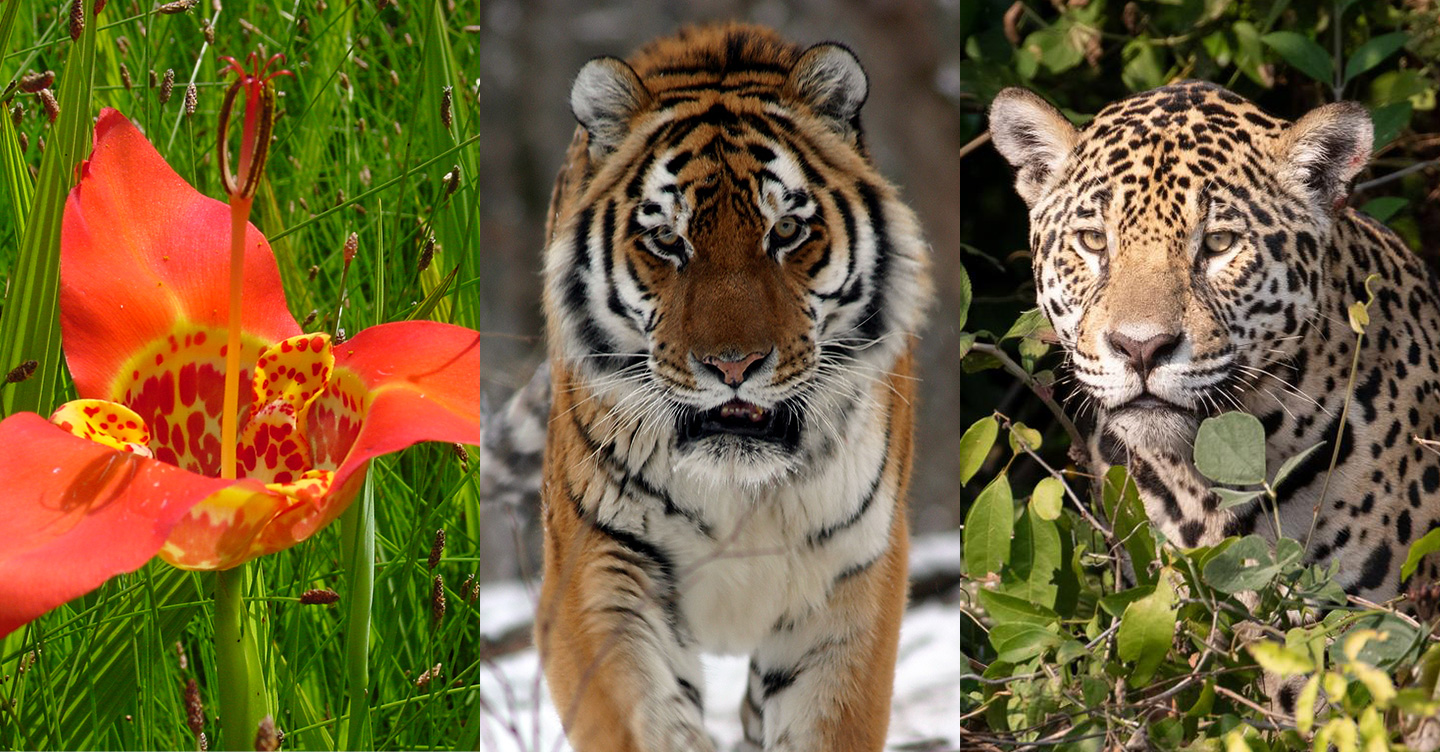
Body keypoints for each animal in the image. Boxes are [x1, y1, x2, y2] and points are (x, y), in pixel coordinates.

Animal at [532, 23, 933, 752]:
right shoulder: (594, 564)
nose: (733, 366)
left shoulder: (852, 573)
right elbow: (647, 717)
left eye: (787, 230)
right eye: (667, 239)